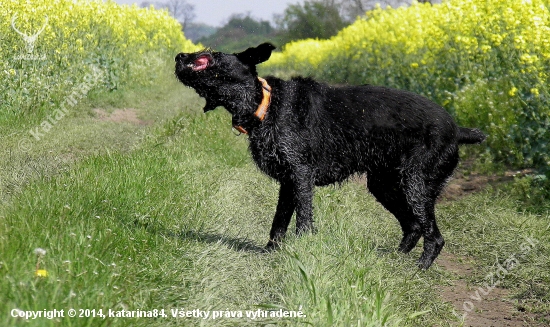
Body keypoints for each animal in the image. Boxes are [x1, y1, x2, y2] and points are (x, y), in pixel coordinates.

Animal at [176, 43, 488, 270]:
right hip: (384, 185)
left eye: (206, 57)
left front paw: (302, 254)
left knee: (434, 236)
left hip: (416, 185)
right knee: (413, 226)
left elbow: (303, 222)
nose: (178, 55)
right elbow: (278, 224)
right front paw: (270, 253)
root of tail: (456, 129)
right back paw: (394, 259)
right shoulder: (288, 182)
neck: (266, 104)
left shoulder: (301, 175)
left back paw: (419, 268)